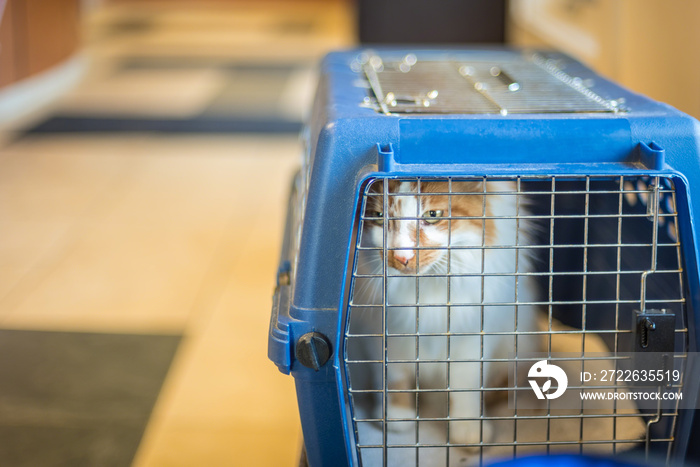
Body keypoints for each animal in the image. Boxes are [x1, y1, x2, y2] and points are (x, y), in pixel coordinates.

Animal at [350, 178, 540, 450]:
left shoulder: (471, 338)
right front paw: (396, 417)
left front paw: (468, 429)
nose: (401, 257)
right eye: (378, 217)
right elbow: (393, 378)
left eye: (433, 215)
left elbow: (465, 387)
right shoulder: (384, 334)